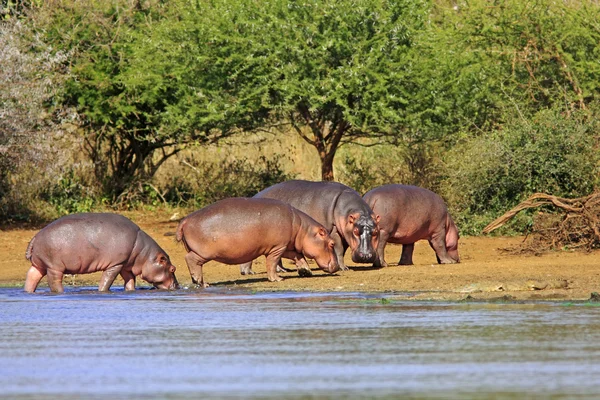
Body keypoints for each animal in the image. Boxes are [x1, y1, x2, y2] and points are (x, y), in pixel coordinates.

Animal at [24, 212, 179, 294]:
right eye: (173, 268)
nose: (177, 286)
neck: (144, 253)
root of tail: (35, 237)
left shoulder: (126, 265)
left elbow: (130, 281)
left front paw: (130, 291)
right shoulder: (116, 264)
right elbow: (107, 280)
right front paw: (103, 292)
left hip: (39, 265)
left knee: (31, 277)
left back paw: (28, 292)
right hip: (54, 267)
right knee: (54, 282)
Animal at [176, 195, 340, 286]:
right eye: (332, 243)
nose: (338, 266)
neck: (302, 229)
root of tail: (185, 220)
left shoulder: (286, 246)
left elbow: (298, 256)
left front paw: (306, 271)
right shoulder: (277, 248)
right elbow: (272, 263)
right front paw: (277, 279)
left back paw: (201, 282)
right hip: (203, 252)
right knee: (191, 260)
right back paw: (201, 282)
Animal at [239, 179, 380, 276]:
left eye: (376, 231)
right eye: (355, 231)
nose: (365, 256)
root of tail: (255, 196)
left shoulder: (345, 233)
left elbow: (343, 250)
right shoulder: (335, 231)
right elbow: (339, 249)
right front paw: (344, 268)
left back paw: (283, 270)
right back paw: (248, 272)